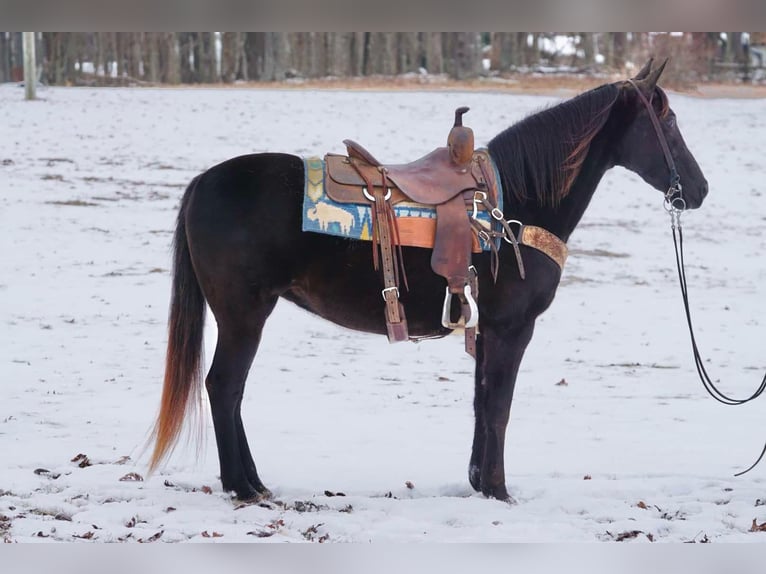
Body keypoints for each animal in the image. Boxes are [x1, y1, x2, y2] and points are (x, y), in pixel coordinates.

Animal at [148, 57, 708, 500]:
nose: (699, 190)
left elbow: (482, 403)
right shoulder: (512, 328)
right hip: (244, 314)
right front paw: (500, 491)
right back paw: (242, 487)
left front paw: (480, 482)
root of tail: (202, 183)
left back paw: (255, 483)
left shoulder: (486, 331)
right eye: (669, 123)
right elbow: (499, 406)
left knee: (233, 391)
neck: (513, 206)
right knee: (224, 387)